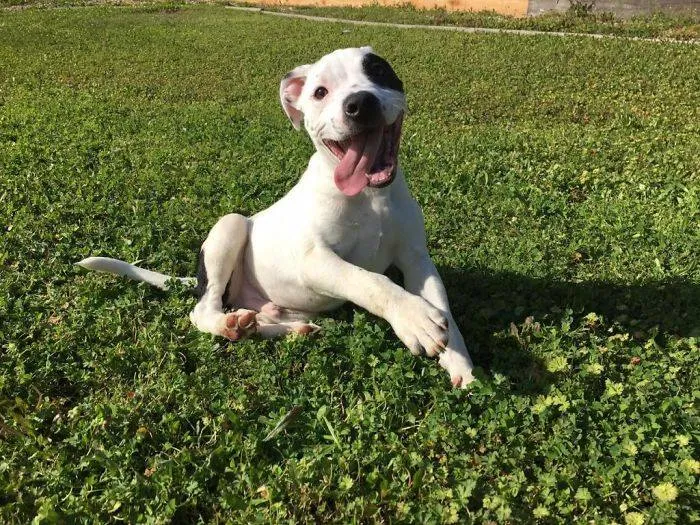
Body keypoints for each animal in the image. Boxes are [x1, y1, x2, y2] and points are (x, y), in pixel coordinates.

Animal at [80, 47, 476, 386]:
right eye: (320, 92)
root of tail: (199, 280)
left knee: (263, 320)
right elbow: (369, 281)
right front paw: (414, 319)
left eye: (377, 71)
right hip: (231, 226)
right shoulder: (315, 261)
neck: (370, 197)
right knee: (202, 311)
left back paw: (272, 328)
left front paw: (463, 366)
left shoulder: (417, 260)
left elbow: (444, 309)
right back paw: (227, 324)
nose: (360, 103)